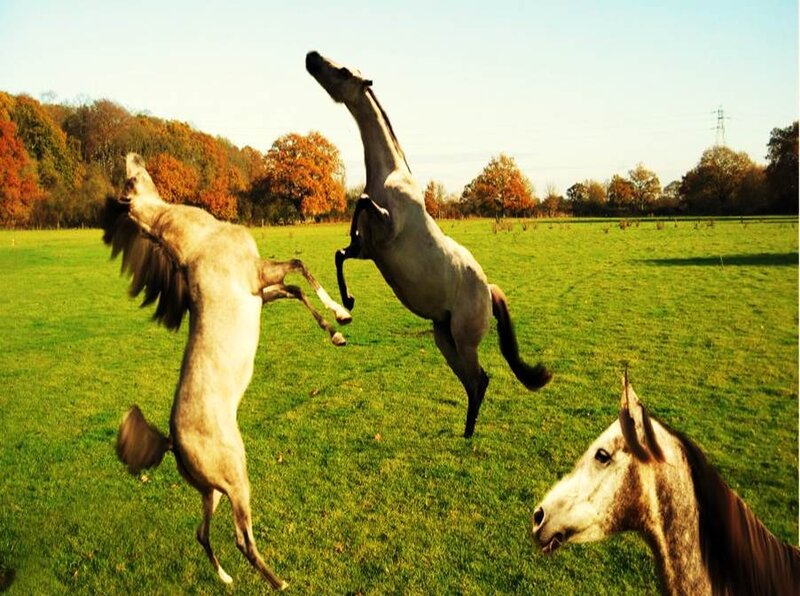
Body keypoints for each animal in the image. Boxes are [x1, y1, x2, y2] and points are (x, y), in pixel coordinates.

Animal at [103, 153, 352, 589]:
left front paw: (335, 331)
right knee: (241, 538)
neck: (201, 238)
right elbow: (299, 267)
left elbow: (296, 289)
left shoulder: (261, 292)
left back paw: (225, 578)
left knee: (202, 533)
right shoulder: (258, 275)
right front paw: (341, 312)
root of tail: (172, 441)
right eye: (130, 180)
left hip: (212, 491)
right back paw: (278, 582)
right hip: (236, 478)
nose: (131, 155)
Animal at [305, 51, 552, 438]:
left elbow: (360, 202)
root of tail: (488, 290)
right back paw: (465, 432)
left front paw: (347, 301)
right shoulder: (369, 251)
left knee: (481, 379)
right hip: (443, 338)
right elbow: (341, 253)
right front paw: (346, 305)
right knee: (474, 383)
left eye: (343, 71)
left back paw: (468, 434)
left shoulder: (388, 228)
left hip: (463, 340)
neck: (390, 176)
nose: (311, 57)